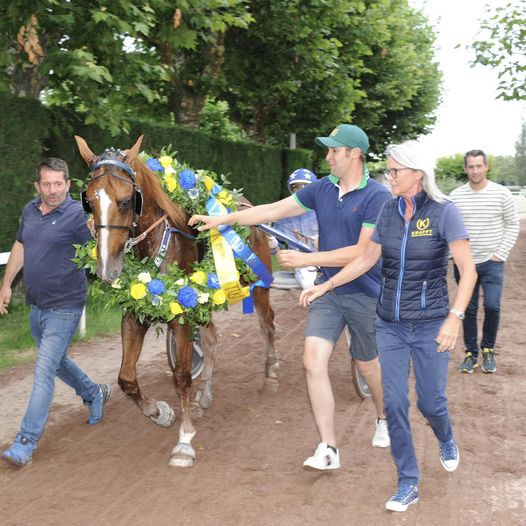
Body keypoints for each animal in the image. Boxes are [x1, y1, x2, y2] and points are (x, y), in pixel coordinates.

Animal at [77, 134, 280, 468]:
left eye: (126, 200)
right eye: (89, 201)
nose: (107, 270)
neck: (157, 241)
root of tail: (246, 207)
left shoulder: (181, 314)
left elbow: (182, 376)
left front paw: (185, 439)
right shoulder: (136, 315)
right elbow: (126, 378)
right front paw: (159, 412)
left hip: (258, 286)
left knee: (268, 325)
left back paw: (271, 371)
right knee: (211, 340)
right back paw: (206, 393)